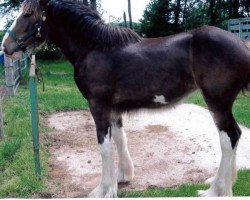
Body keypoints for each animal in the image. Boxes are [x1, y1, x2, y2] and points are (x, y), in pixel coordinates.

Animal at [0, 0, 249, 197]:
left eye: (28, 14)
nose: (5, 46)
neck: (93, 49)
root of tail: (242, 44)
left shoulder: (98, 106)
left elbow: (104, 146)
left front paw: (102, 190)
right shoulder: (113, 109)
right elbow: (120, 140)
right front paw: (121, 178)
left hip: (218, 103)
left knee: (229, 137)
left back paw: (216, 190)